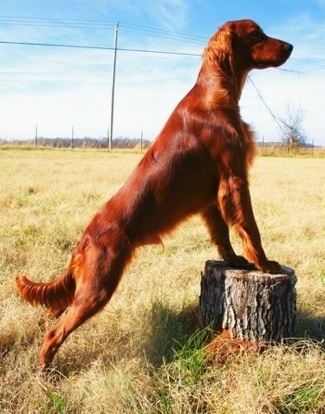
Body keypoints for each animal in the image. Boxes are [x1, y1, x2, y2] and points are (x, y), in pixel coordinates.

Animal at [16, 19, 292, 370]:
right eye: (256, 34)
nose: (290, 47)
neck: (215, 96)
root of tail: (83, 241)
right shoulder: (234, 179)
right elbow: (249, 228)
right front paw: (265, 264)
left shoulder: (211, 197)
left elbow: (222, 234)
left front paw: (235, 261)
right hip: (97, 289)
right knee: (55, 332)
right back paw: (45, 371)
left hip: (85, 287)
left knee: (54, 310)